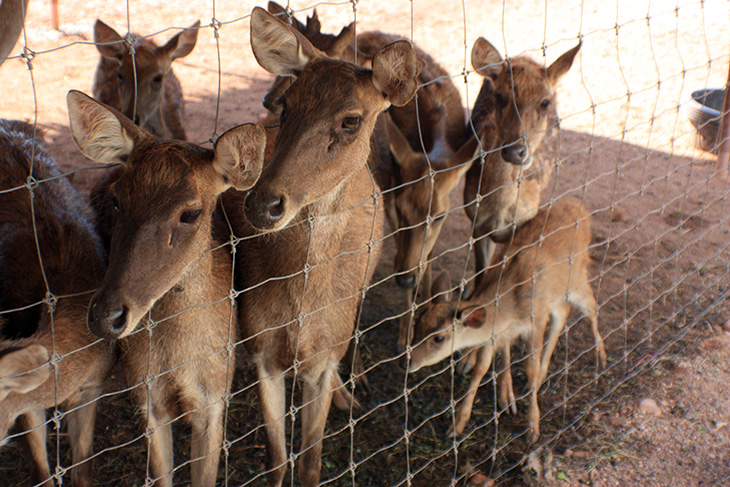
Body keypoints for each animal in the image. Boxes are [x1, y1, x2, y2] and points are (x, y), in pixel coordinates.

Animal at [67, 88, 266, 487]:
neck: (180, 361)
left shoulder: (216, 394)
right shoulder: (147, 396)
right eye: (117, 201)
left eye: (190, 213)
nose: (106, 316)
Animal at [219, 8, 416, 487]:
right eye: (288, 106)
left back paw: (353, 390)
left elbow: (310, 463)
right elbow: (276, 460)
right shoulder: (260, 350)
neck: (300, 315)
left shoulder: (322, 361)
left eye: (351, 120)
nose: (263, 203)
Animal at [410, 198, 604, 442]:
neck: (510, 306)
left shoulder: (536, 318)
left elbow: (530, 367)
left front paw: (533, 427)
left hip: (577, 278)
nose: (408, 363)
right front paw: (457, 425)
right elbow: (481, 368)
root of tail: (581, 207)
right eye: (417, 324)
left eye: (438, 338)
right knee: (564, 311)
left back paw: (600, 357)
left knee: (589, 306)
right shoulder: (498, 332)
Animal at [460, 40, 580, 288]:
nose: (515, 151)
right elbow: (480, 274)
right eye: (500, 96)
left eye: (545, 102)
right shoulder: (475, 220)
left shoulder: (525, 222)